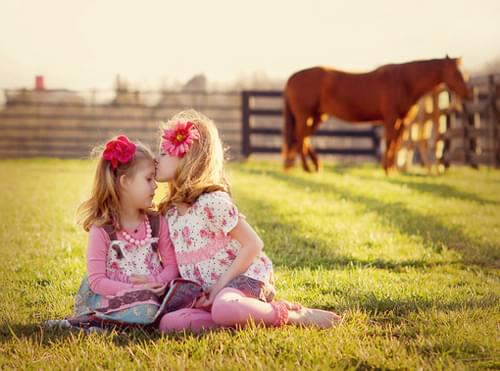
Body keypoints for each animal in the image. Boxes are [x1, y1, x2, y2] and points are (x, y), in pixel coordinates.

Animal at [284, 56, 470, 173]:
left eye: (465, 72)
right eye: (457, 73)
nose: (468, 94)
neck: (405, 81)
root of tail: (291, 77)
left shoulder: (402, 120)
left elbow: (396, 143)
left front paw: (391, 169)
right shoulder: (391, 118)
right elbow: (390, 142)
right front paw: (387, 169)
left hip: (317, 116)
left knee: (302, 139)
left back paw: (310, 166)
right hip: (304, 115)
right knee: (300, 138)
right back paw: (306, 168)